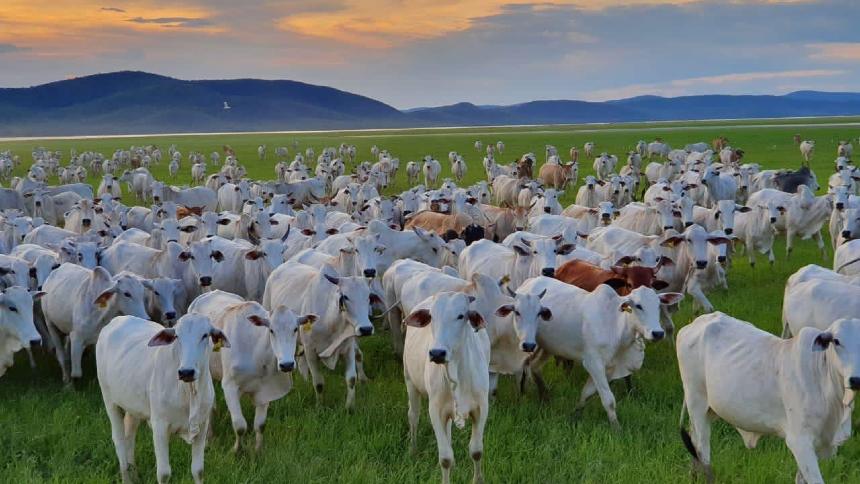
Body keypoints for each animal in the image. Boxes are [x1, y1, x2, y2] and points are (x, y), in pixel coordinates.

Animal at [96, 314, 228, 484]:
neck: (188, 393)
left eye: (205, 335)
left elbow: (198, 471)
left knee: (129, 435)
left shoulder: (202, 425)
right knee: (119, 440)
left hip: (133, 407)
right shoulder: (159, 426)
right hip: (110, 401)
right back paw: (126, 477)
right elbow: (164, 473)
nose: (186, 372)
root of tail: (116, 320)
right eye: (177, 336)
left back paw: (134, 475)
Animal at [188, 292, 316, 454]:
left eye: (295, 329)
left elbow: (260, 425)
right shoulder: (229, 386)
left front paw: (258, 449)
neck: (256, 352)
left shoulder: (266, 389)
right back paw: (208, 436)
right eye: (271, 330)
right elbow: (240, 425)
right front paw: (236, 450)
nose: (287, 364)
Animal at [520, 278, 680, 426]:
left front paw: (575, 414)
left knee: (534, 366)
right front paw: (616, 428)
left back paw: (544, 398)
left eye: (658, 305)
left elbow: (586, 394)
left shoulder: (609, 368)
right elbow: (609, 400)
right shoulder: (594, 363)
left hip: (547, 347)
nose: (658, 333)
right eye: (639, 306)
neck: (615, 325)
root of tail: (528, 282)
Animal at [676, 312, 856, 484]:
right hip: (696, 404)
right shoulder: (800, 441)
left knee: (694, 445)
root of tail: (696, 323)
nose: (855, 379)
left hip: (709, 411)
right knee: (702, 453)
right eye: (836, 341)